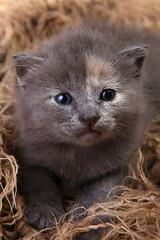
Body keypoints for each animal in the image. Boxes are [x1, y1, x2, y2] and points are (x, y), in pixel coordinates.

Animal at [12, 21, 160, 238]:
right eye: (63, 98)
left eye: (108, 94)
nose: (90, 117)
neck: (77, 153)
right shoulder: (29, 156)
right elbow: (41, 183)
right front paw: (46, 214)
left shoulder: (125, 162)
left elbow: (100, 193)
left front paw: (86, 223)